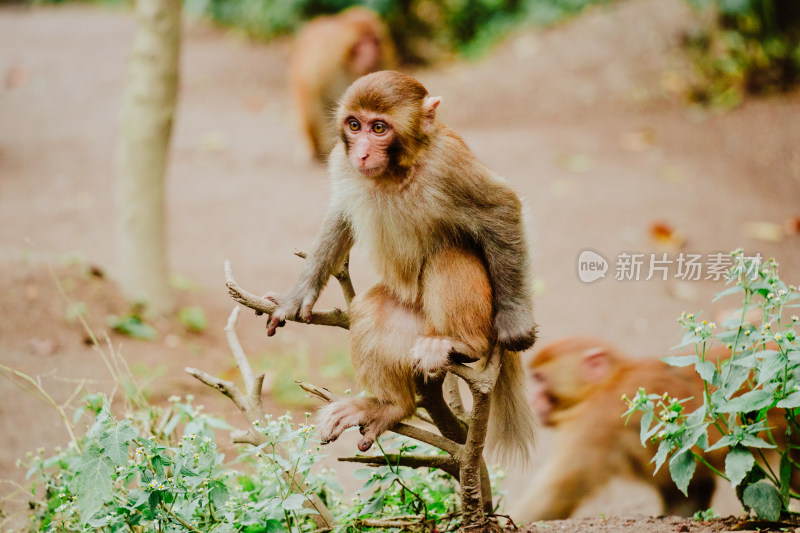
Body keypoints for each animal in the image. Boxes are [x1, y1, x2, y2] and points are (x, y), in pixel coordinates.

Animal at [264, 70, 536, 460]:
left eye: (379, 128)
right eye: (354, 125)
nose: (362, 152)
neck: (396, 171)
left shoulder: (449, 162)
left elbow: (502, 208)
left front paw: (516, 321)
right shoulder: (341, 162)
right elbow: (341, 214)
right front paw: (298, 295)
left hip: (478, 314)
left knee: (449, 253)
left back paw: (464, 344)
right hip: (409, 319)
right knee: (369, 310)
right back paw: (390, 406)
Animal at [512, 336, 792, 520]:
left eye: (540, 379)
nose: (533, 400)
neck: (607, 382)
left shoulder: (596, 420)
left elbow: (554, 497)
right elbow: (689, 491)